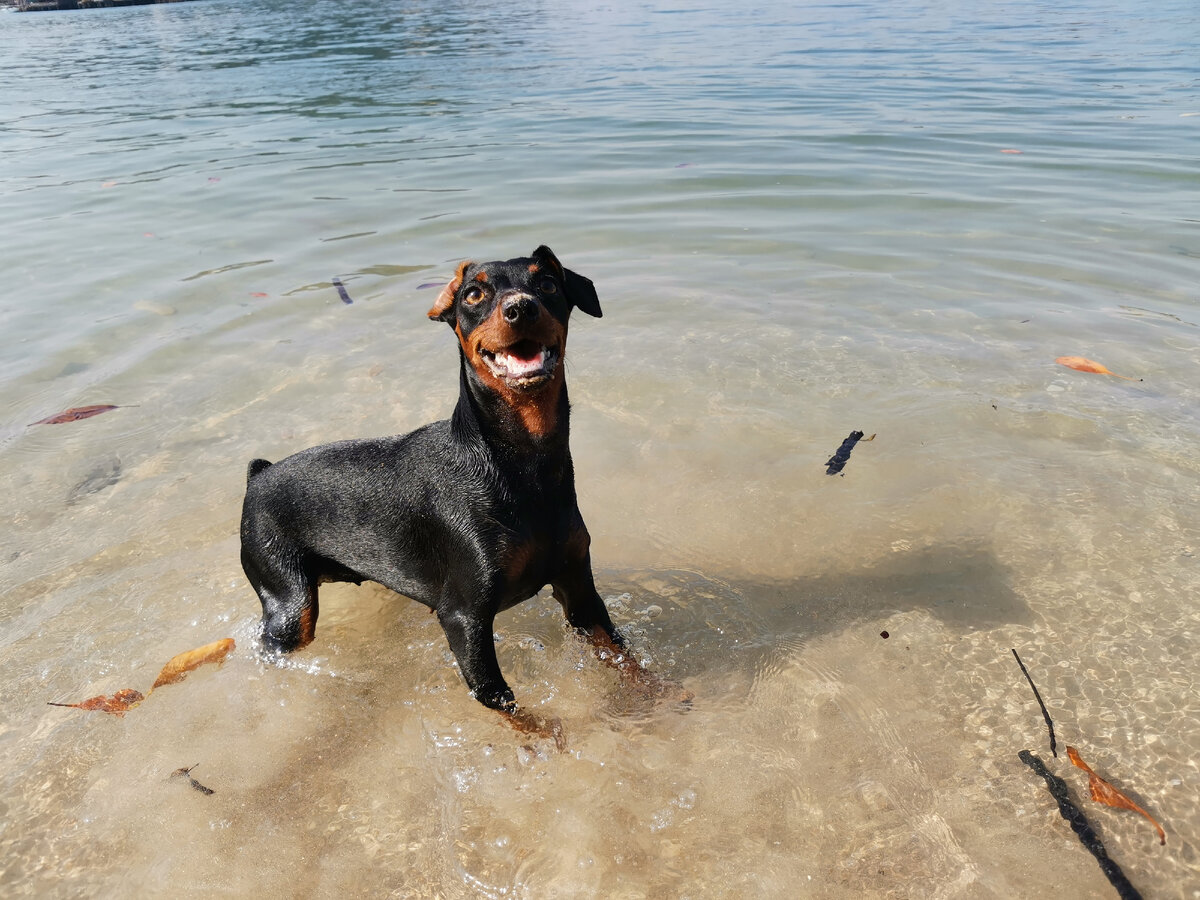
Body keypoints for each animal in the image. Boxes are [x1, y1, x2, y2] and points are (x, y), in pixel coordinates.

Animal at [241, 247, 676, 739]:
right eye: (473, 294)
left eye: (547, 283)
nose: (520, 307)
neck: (525, 467)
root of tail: (258, 476)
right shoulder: (464, 616)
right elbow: (498, 697)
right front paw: (545, 740)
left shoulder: (578, 587)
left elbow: (623, 654)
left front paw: (662, 696)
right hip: (288, 603)